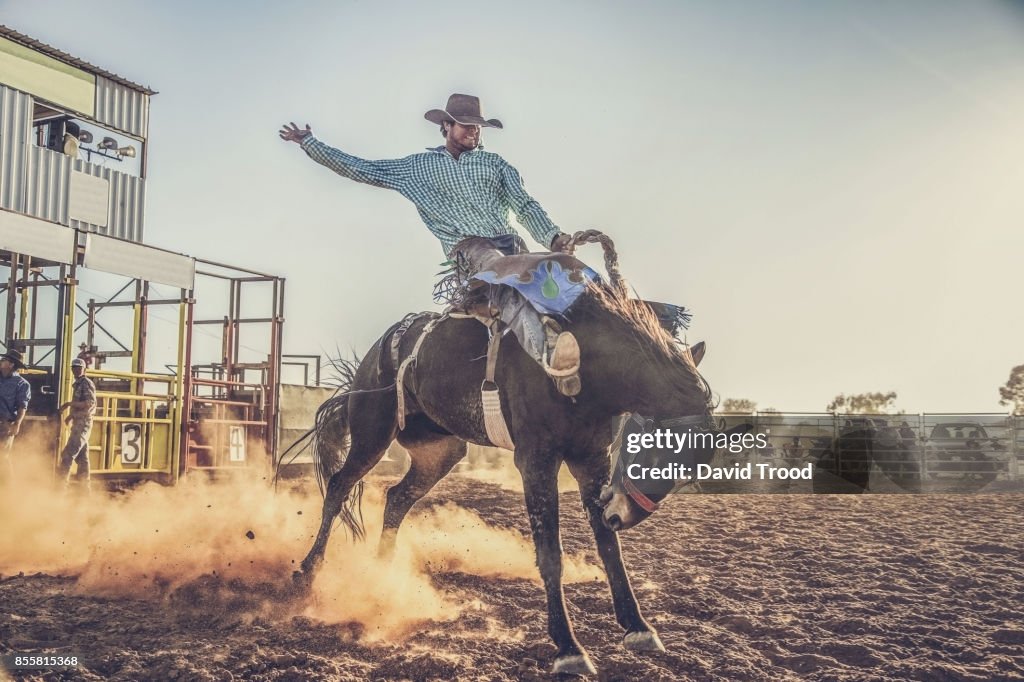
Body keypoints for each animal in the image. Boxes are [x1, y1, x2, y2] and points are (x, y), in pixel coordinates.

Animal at [292, 235, 716, 675]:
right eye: (655, 451)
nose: (624, 515)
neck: (587, 364)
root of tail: (385, 343)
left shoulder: (591, 457)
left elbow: (608, 546)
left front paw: (638, 627)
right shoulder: (536, 460)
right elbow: (550, 553)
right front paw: (569, 649)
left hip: (440, 451)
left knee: (396, 498)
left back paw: (382, 574)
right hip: (373, 432)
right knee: (339, 486)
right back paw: (309, 571)